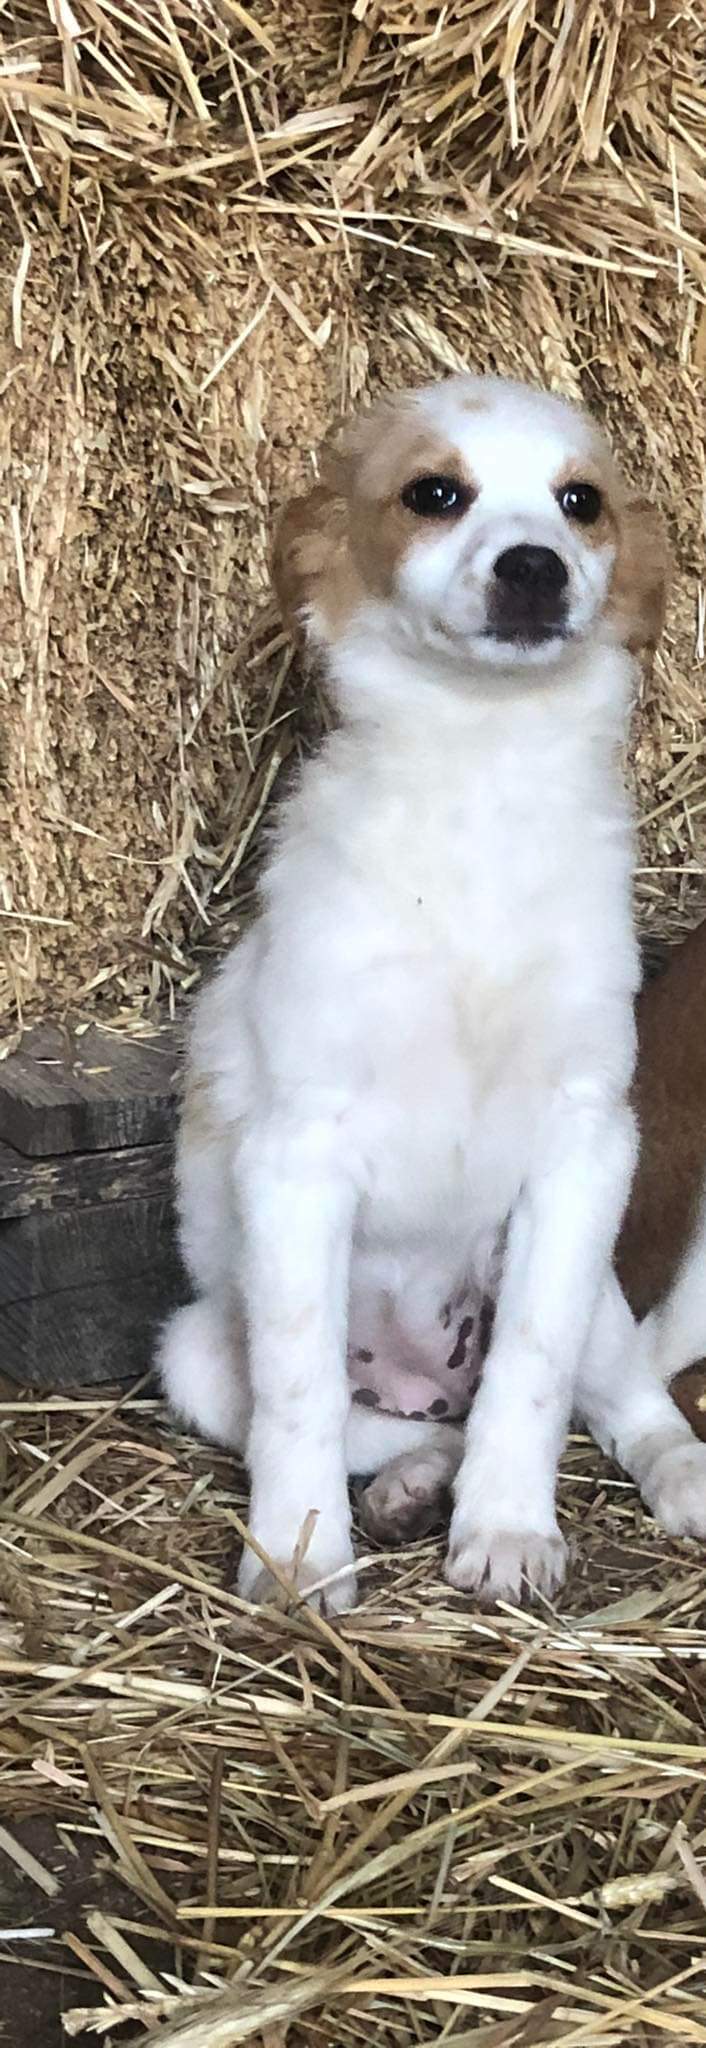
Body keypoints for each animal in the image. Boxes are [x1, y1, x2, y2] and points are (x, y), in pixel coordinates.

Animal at [159, 373, 706, 1612]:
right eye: (434, 494)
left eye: (578, 501)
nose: (534, 566)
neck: (482, 778)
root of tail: (420, 1377)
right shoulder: (296, 1153)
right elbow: (301, 1398)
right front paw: (302, 1556)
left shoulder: (585, 1144)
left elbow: (532, 1379)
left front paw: (506, 1528)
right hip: (196, 1350)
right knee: (377, 1421)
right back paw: (410, 1479)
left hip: (579, 1281)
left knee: (622, 1396)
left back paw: (676, 1472)